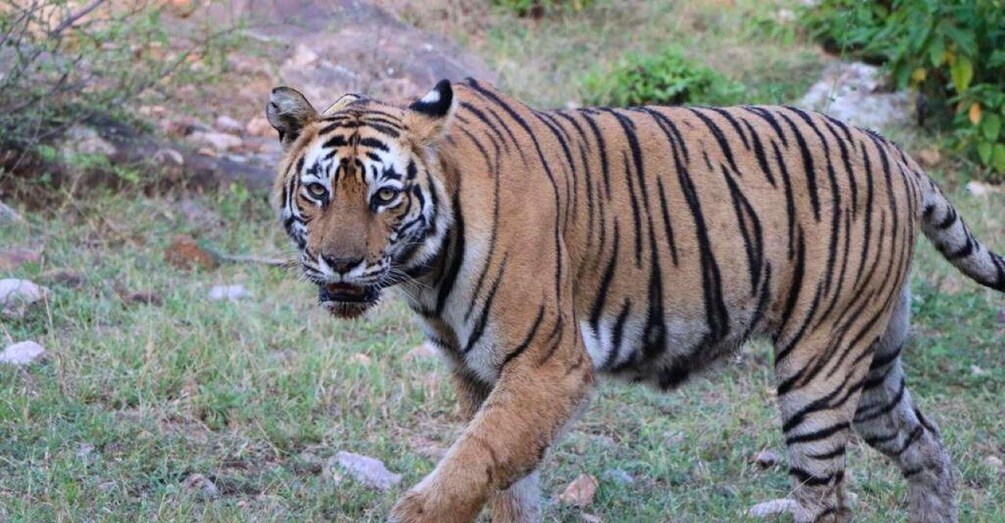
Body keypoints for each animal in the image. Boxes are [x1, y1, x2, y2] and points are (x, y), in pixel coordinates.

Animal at [265, 78, 1004, 523]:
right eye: (319, 191)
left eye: (385, 195)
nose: (340, 261)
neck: (426, 268)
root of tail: (896, 153)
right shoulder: (478, 372)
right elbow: (501, 478)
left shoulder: (548, 364)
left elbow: (472, 464)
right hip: (872, 364)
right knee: (927, 447)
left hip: (817, 370)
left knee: (828, 500)